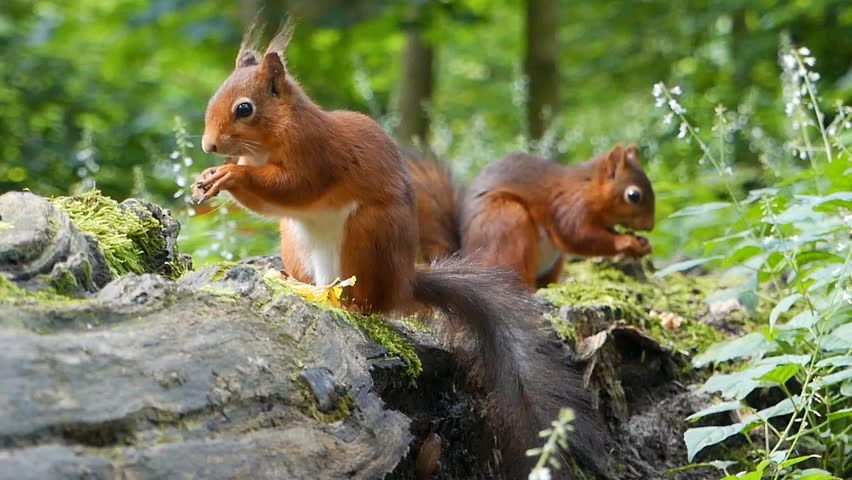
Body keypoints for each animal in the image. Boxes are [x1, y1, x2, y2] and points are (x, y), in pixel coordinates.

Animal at [191, 22, 606, 479]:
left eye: (244, 109)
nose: (209, 146)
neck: (272, 137)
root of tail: (404, 281)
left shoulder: (314, 153)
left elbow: (293, 187)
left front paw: (229, 175)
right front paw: (209, 177)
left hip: (366, 235)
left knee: (369, 303)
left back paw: (344, 302)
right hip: (296, 242)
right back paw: (298, 285)